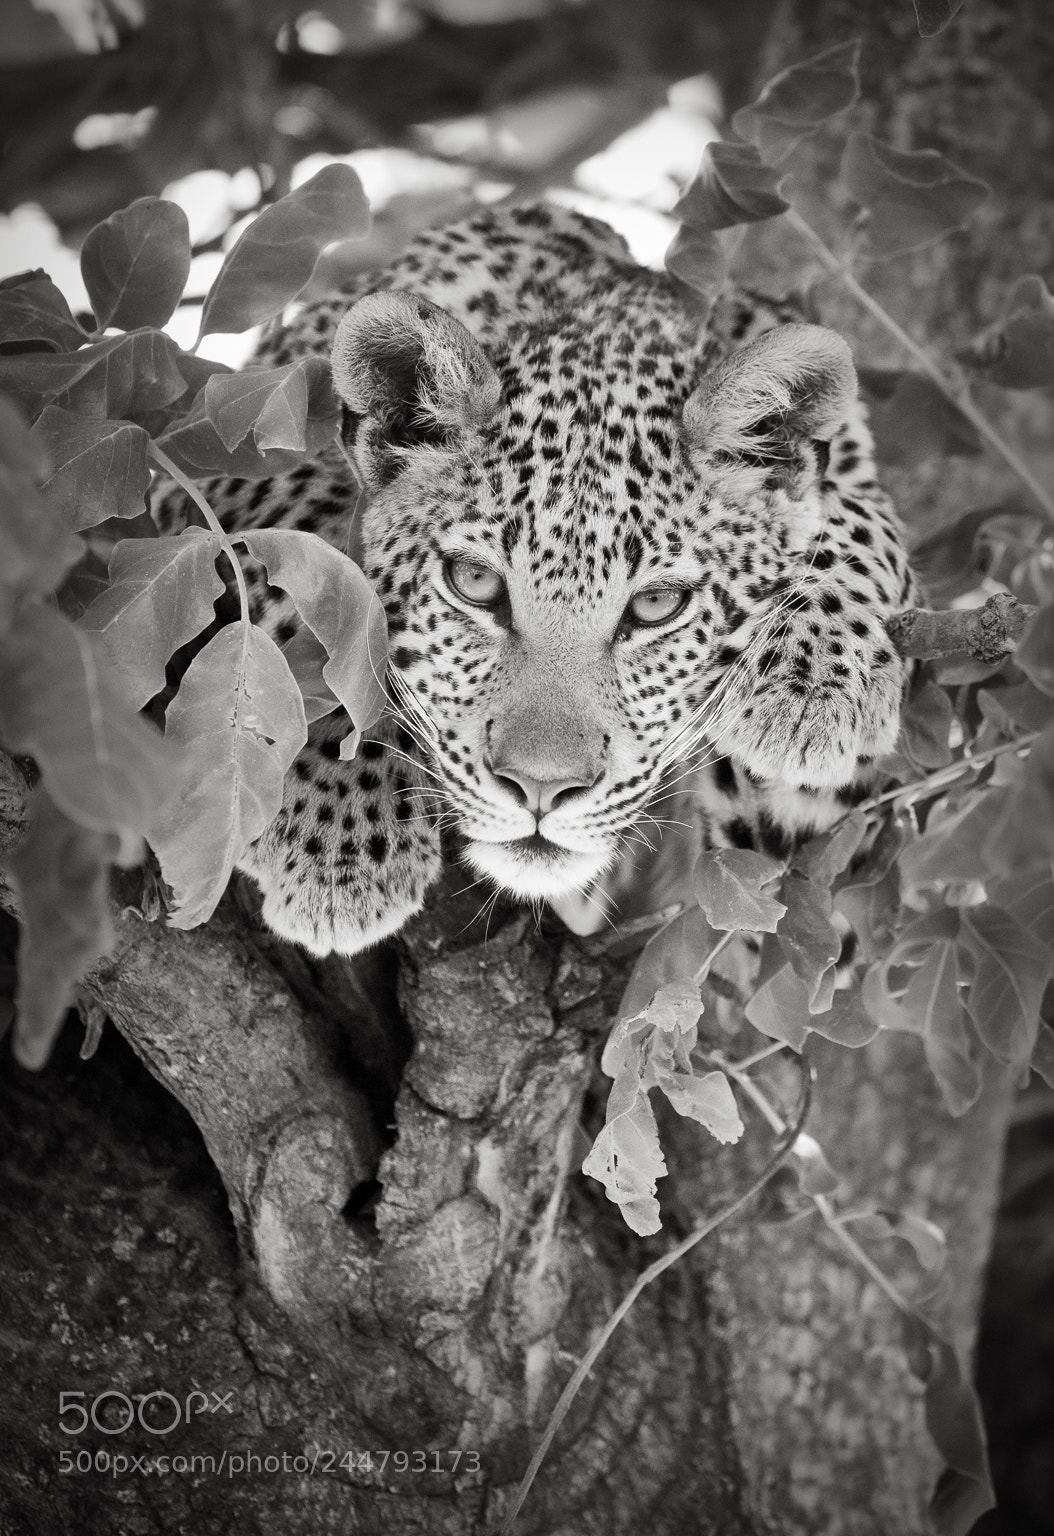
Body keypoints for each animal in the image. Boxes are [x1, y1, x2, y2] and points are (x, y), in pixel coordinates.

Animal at [153, 201, 914, 957]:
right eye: (474, 583)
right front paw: (341, 835)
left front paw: (811, 688)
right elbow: (310, 579)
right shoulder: (218, 464)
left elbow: (853, 521)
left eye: (657, 605)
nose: (542, 790)